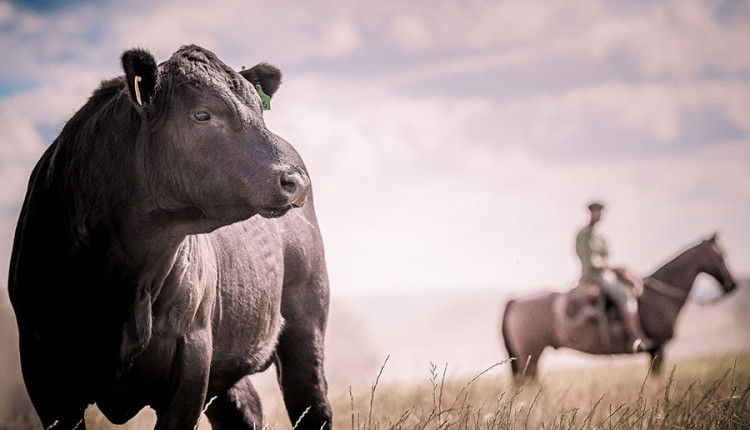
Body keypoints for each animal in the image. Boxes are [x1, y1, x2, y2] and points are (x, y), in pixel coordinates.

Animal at [8, 45, 332, 428]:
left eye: (259, 111)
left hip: (306, 322)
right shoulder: (43, 369)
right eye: (202, 114)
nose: (294, 181)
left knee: (312, 404)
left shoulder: (191, 357)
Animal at [502, 233, 736, 378]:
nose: (732, 285)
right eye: (721, 255)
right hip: (531, 354)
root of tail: (515, 301)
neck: (659, 297)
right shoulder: (658, 349)